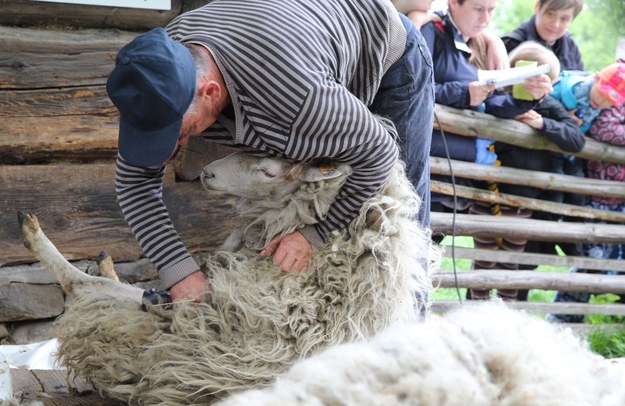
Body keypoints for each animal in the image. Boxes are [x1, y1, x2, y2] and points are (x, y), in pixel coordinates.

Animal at [17, 151, 432, 404]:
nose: (207, 173)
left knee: (82, 285)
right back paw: (106, 264)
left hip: (141, 325)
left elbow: (85, 286)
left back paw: (36, 233)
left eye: (268, 170)